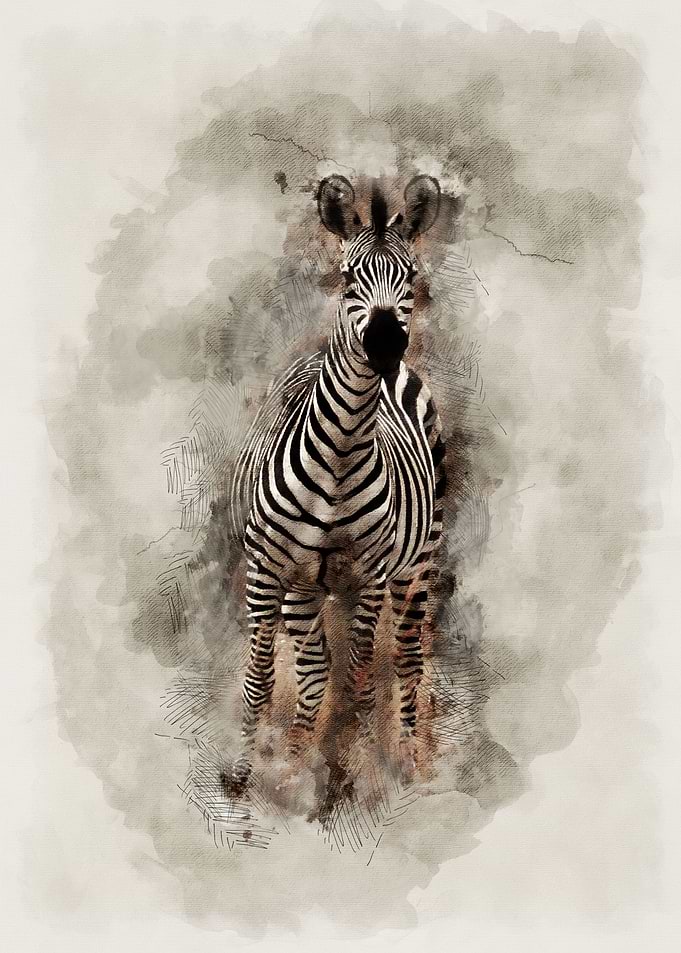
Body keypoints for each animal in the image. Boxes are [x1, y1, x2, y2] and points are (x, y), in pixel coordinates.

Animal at [229, 174, 447, 785]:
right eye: (350, 277)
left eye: (411, 278)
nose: (385, 345)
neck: (344, 447)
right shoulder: (264, 573)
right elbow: (260, 677)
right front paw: (243, 773)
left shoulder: (368, 575)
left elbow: (361, 674)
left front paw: (353, 774)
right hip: (302, 587)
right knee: (311, 669)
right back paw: (298, 761)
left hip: (418, 562)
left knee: (404, 657)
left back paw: (408, 763)